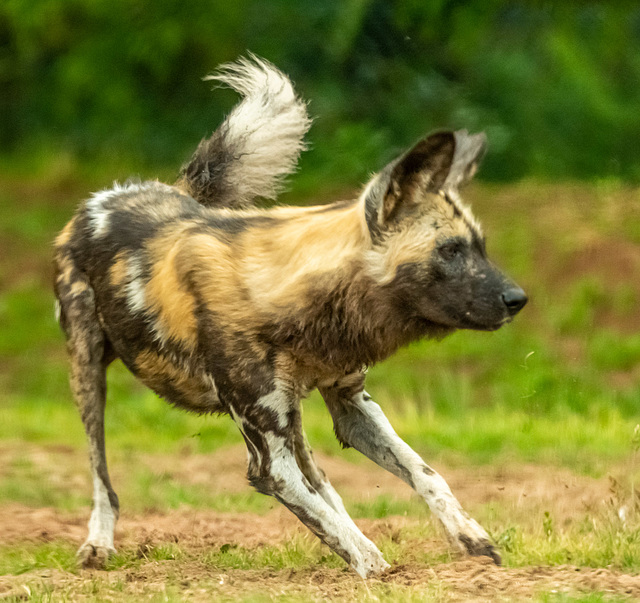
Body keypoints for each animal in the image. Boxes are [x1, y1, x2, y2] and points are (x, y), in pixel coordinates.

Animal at [55, 57, 524, 580]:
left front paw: (471, 540)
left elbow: (425, 474)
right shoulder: (267, 462)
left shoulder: (352, 406)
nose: (517, 299)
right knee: (101, 473)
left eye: (478, 247)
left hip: (292, 417)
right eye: (450, 250)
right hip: (88, 373)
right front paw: (379, 572)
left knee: (322, 482)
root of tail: (115, 193)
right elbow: (354, 544)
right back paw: (98, 544)